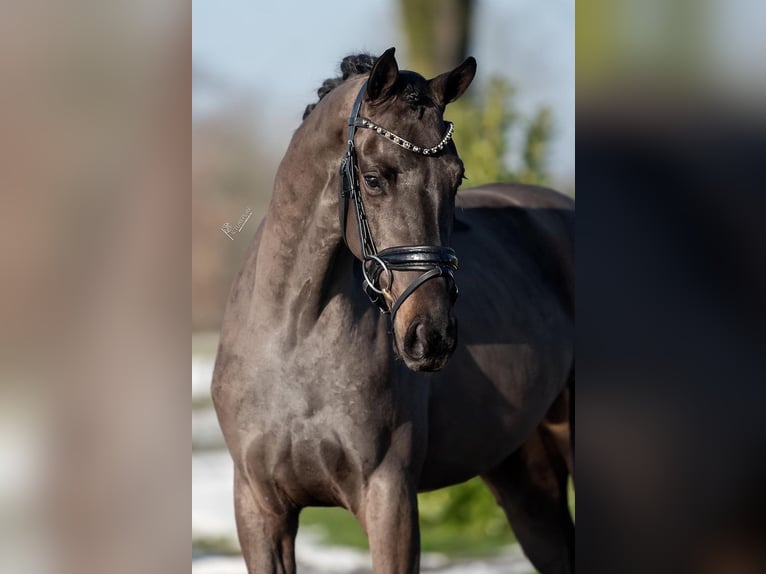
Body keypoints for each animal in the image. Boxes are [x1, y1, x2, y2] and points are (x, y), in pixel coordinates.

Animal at [213, 47, 572, 572]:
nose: (432, 336)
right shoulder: (260, 509)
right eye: (374, 178)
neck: (295, 338)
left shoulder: (389, 499)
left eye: (456, 177)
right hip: (524, 476)